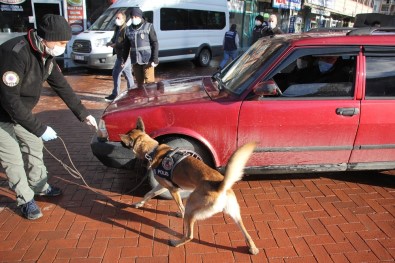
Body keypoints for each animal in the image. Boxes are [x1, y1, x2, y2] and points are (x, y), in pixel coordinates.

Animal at [122, 117, 262, 256]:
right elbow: (148, 194)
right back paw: (252, 248)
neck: (153, 150)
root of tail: (220, 186)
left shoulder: (172, 190)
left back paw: (176, 242)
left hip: (191, 207)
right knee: (246, 233)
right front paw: (139, 203)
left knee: (190, 235)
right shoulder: (162, 186)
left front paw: (180, 213)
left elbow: (179, 205)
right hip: (235, 214)